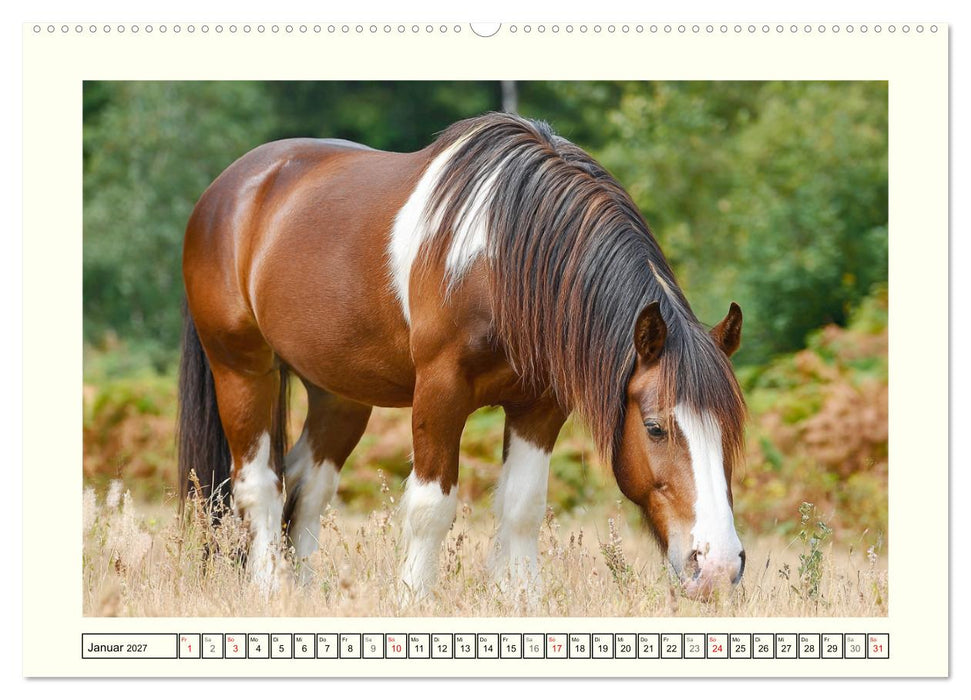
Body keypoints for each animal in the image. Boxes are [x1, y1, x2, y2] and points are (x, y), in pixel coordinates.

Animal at [178, 112, 747, 600]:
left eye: (730, 432)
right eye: (654, 428)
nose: (718, 566)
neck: (500, 260)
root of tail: (227, 189)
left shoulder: (540, 406)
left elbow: (522, 505)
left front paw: (521, 597)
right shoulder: (440, 390)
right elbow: (431, 506)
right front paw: (412, 598)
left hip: (339, 393)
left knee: (307, 485)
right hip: (241, 368)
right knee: (260, 484)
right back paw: (269, 587)